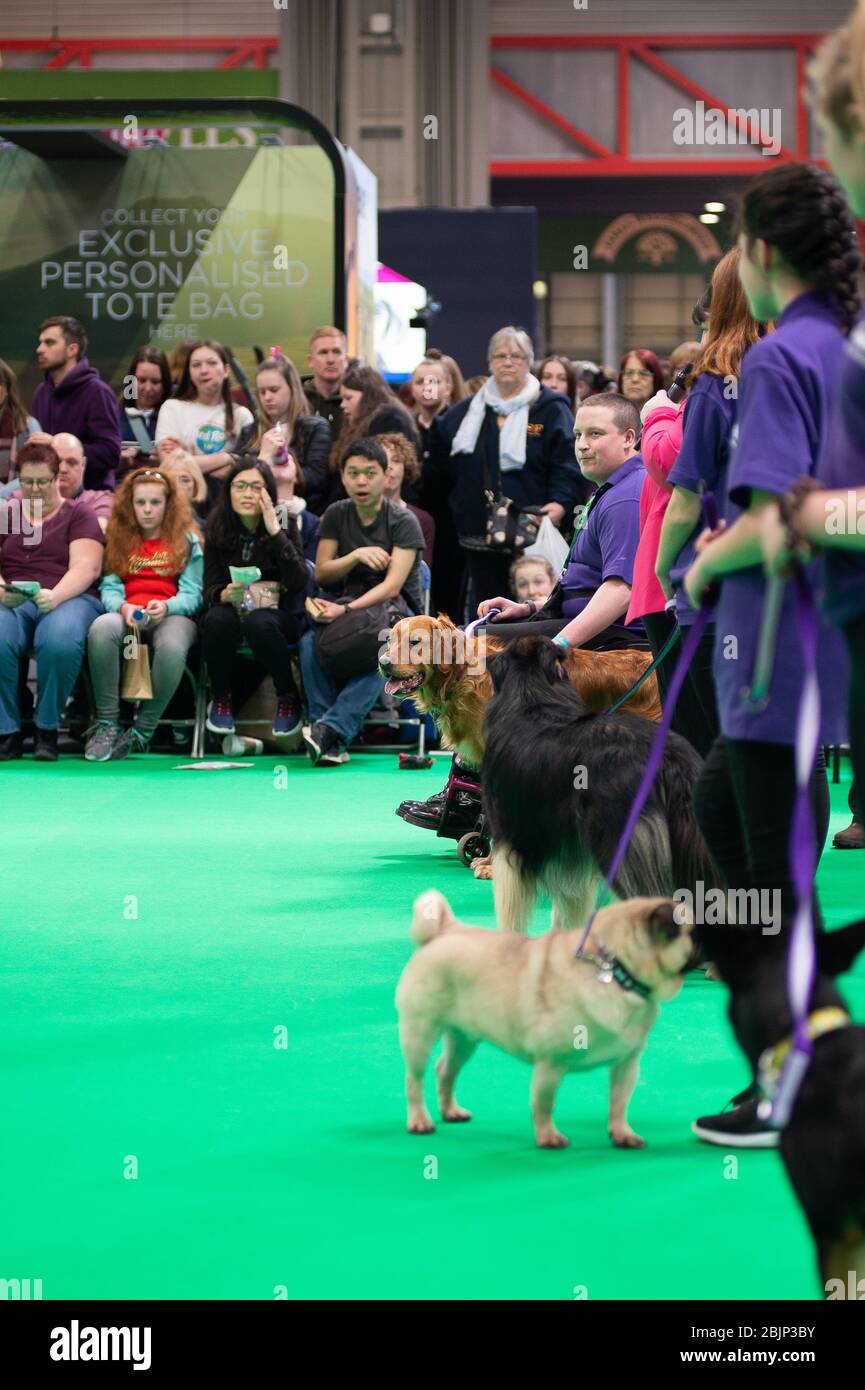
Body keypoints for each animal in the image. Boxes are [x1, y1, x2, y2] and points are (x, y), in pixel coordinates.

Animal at [483, 636, 723, 934]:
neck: (533, 700)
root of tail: (670, 759)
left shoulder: (509, 839)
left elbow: (510, 911)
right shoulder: (569, 851)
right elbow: (568, 904)